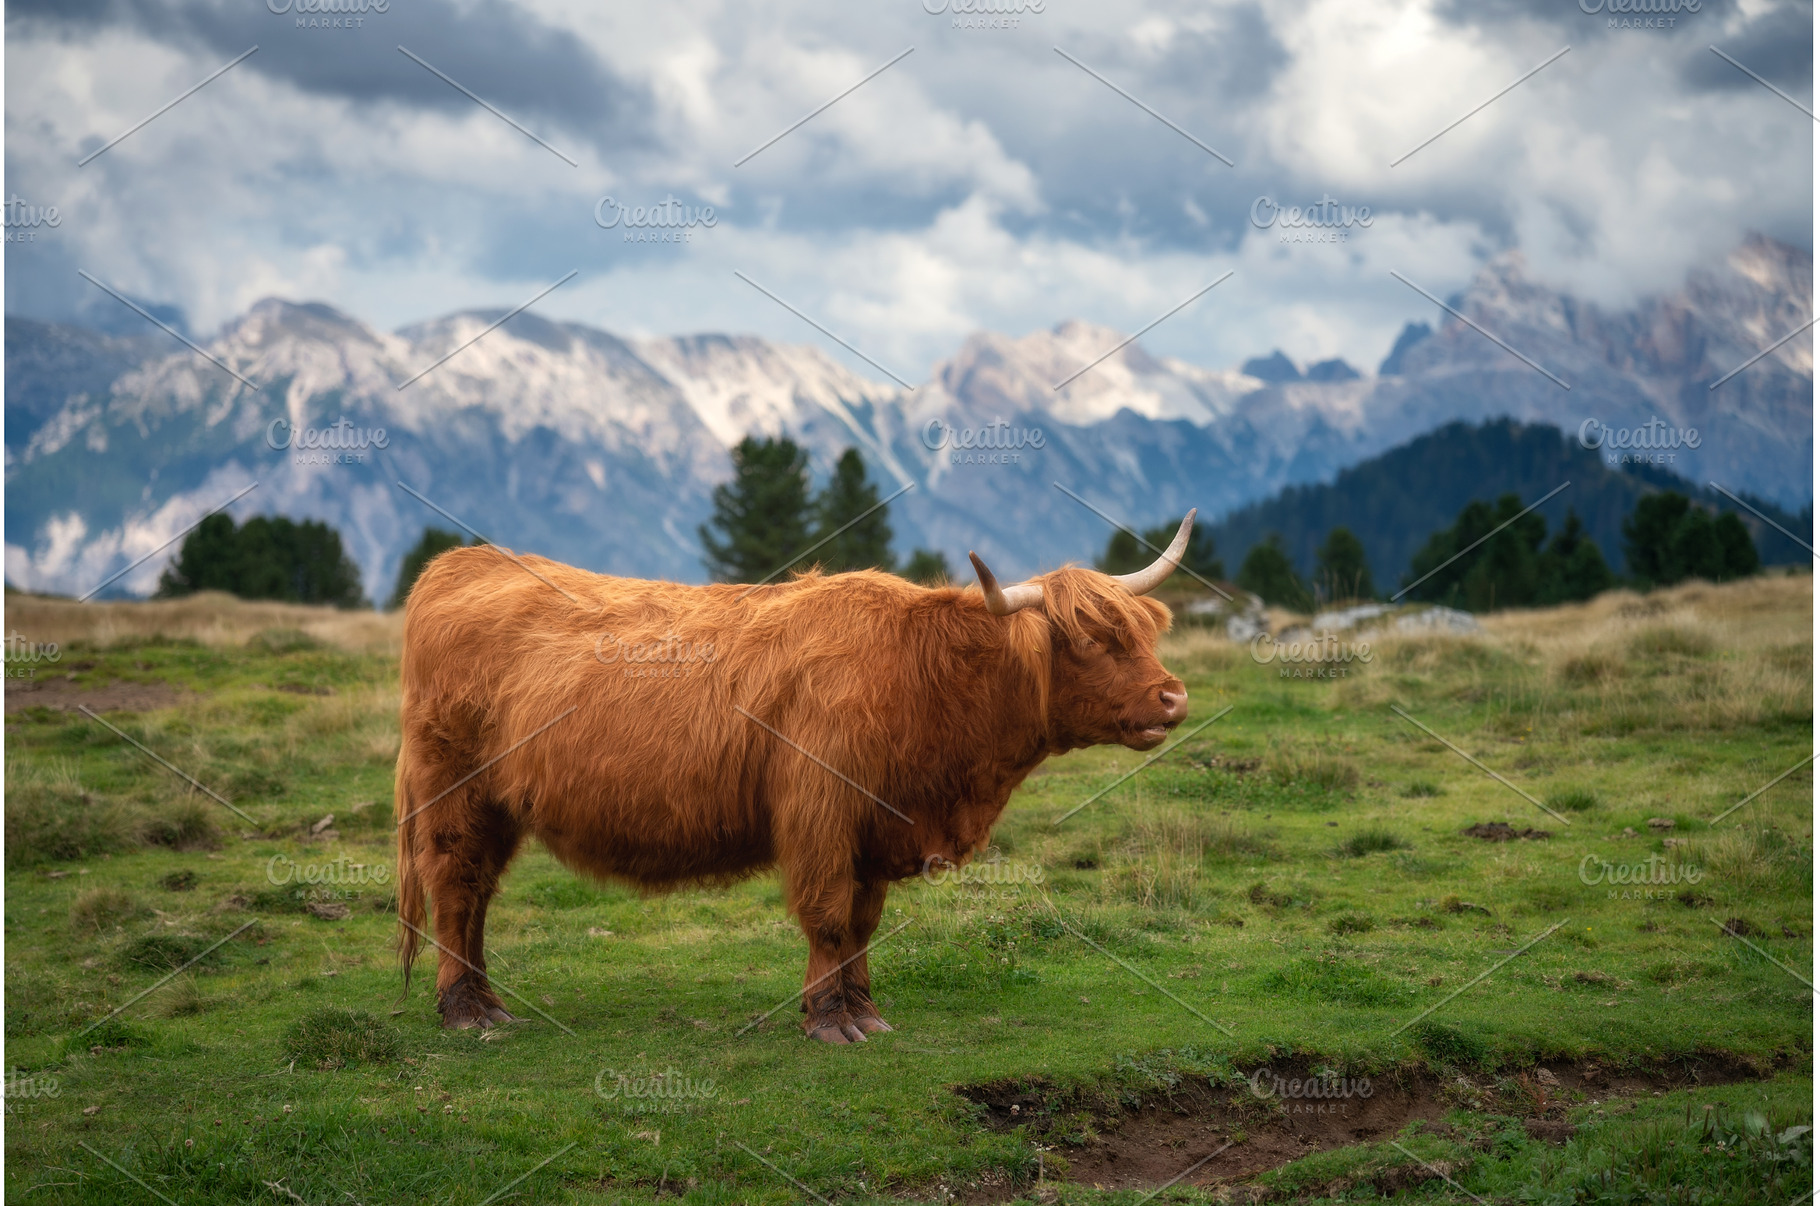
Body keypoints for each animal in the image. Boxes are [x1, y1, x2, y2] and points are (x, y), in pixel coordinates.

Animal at [394, 513, 1195, 1042]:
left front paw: (865, 1008)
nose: (1173, 696)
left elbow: (864, 924)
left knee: (476, 897)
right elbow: (829, 916)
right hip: (454, 790)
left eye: (1142, 631)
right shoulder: (821, 813)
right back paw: (465, 1011)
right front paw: (829, 1020)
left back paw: (487, 1001)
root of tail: (463, 562)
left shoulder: (877, 827)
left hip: (498, 807)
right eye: (1090, 640)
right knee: (455, 888)